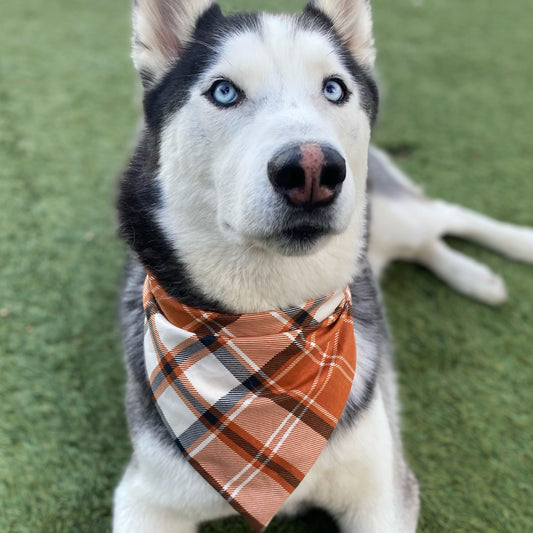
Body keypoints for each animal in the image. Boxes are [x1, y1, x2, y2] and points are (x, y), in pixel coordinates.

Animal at [113, 1, 532, 532]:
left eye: (334, 89)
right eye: (224, 91)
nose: (312, 169)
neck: (271, 326)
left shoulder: (383, 492)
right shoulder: (145, 498)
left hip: (392, 212)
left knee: (444, 216)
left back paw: (513, 251)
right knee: (425, 244)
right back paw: (475, 277)